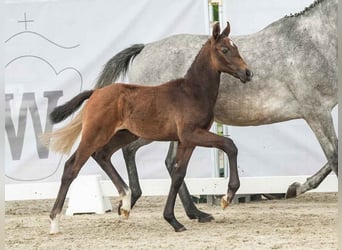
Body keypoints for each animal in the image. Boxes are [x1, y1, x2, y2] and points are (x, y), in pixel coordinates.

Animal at [46, 22, 251, 233]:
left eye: (236, 47)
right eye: (224, 49)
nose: (247, 73)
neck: (192, 91)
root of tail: (95, 93)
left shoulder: (187, 140)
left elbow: (178, 174)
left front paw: (173, 220)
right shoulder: (192, 134)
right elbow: (229, 145)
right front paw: (227, 197)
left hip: (124, 134)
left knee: (102, 154)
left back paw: (126, 202)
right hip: (95, 134)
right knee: (72, 167)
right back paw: (54, 222)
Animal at [94, 0, 336, 223]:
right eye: (225, 50)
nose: (248, 73)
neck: (313, 42)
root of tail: (144, 48)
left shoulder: (320, 112)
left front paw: (294, 187)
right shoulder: (315, 111)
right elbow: (334, 157)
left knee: (169, 162)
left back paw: (193, 212)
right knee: (130, 151)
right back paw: (133, 198)